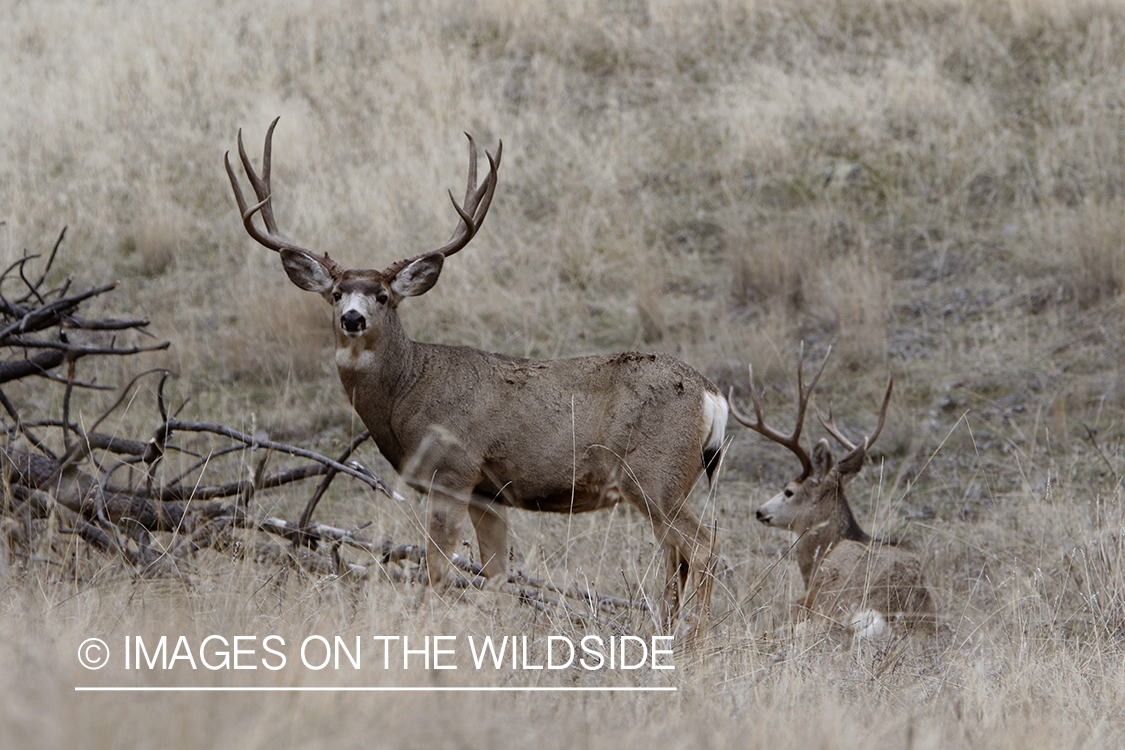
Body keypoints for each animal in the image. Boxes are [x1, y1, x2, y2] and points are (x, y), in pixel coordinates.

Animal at [223, 120, 724, 629]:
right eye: (336, 293)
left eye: (383, 295)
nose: (353, 319)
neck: (408, 393)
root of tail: (711, 394)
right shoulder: (489, 492)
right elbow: (497, 577)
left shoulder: (453, 470)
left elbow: (436, 571)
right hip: (669, 480)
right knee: (677, 556)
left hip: (655, 472)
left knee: (702, 545)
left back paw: (696, 636)